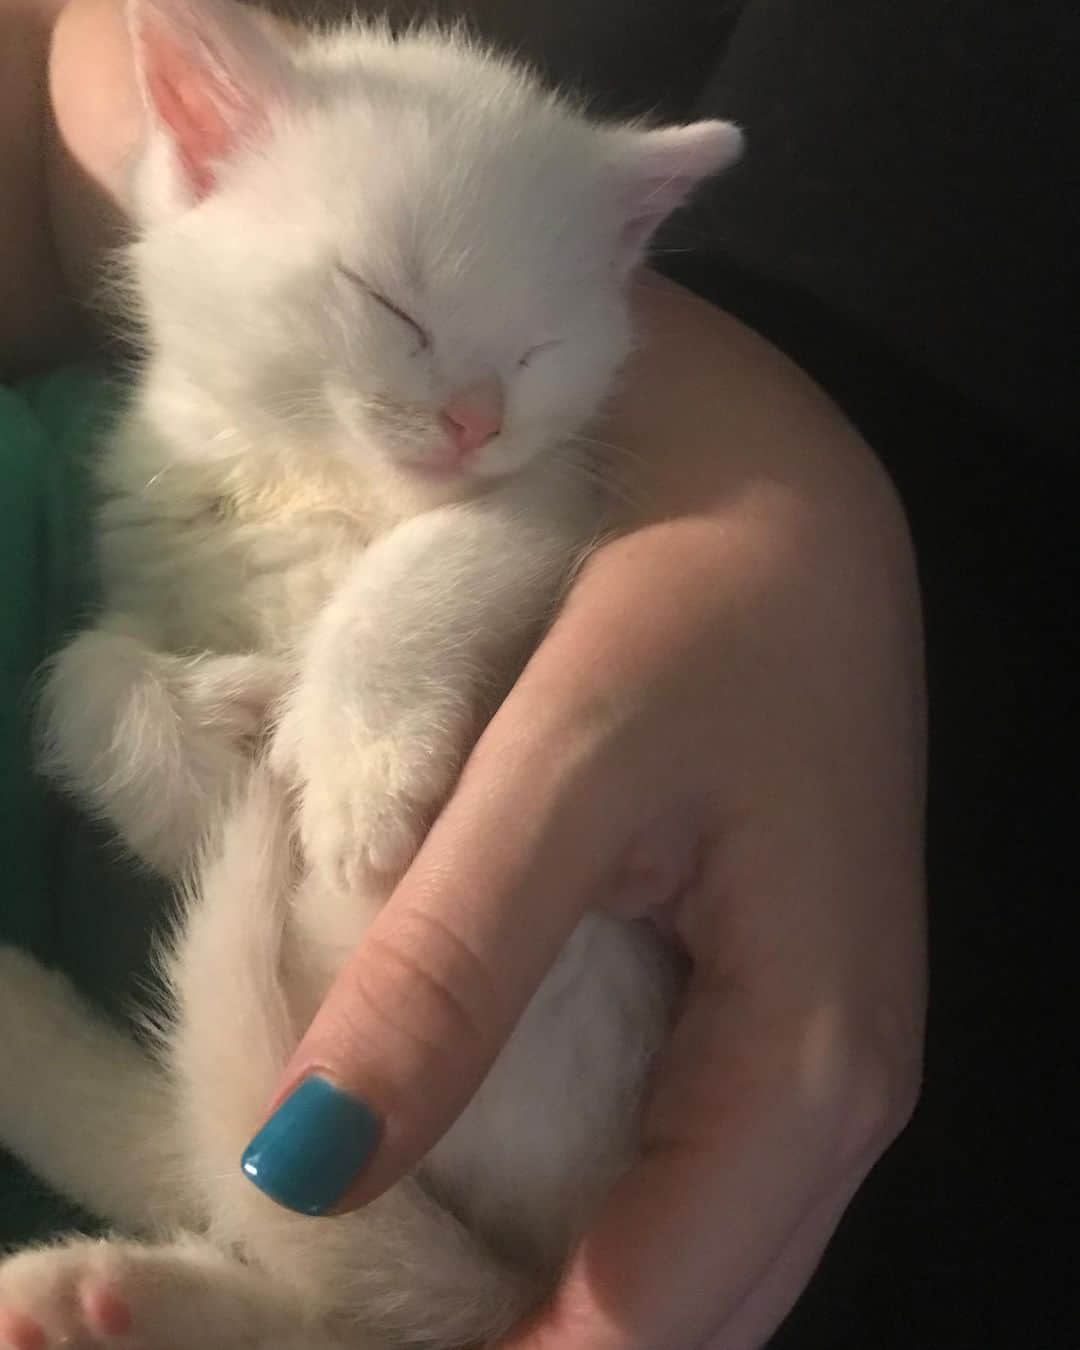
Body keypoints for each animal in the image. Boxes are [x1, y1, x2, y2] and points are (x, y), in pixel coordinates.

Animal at [0, 0, 745, 1344]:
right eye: (388, 303)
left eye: (541, 345)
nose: (473, 416)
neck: (311, 475)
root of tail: (554, 1245)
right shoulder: (155, 535)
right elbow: (84, 671)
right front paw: (193, 774)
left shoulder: (555, 505)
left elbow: (427, 568)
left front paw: (358, 773)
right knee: (237, 1187)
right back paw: (94, 1271)